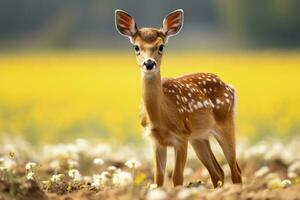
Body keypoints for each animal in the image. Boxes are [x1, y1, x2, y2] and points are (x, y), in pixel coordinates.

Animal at [113, 8, 243, 187]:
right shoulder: (156, 140)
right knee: (218, 172)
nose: (149, 63)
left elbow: (177, 177)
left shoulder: (181, 136)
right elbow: (158, 178)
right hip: (199, 137)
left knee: (235, 170)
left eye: (161, 46)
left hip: (226, 122)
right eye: (136, 47)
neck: (161, 116)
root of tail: (230, 86)